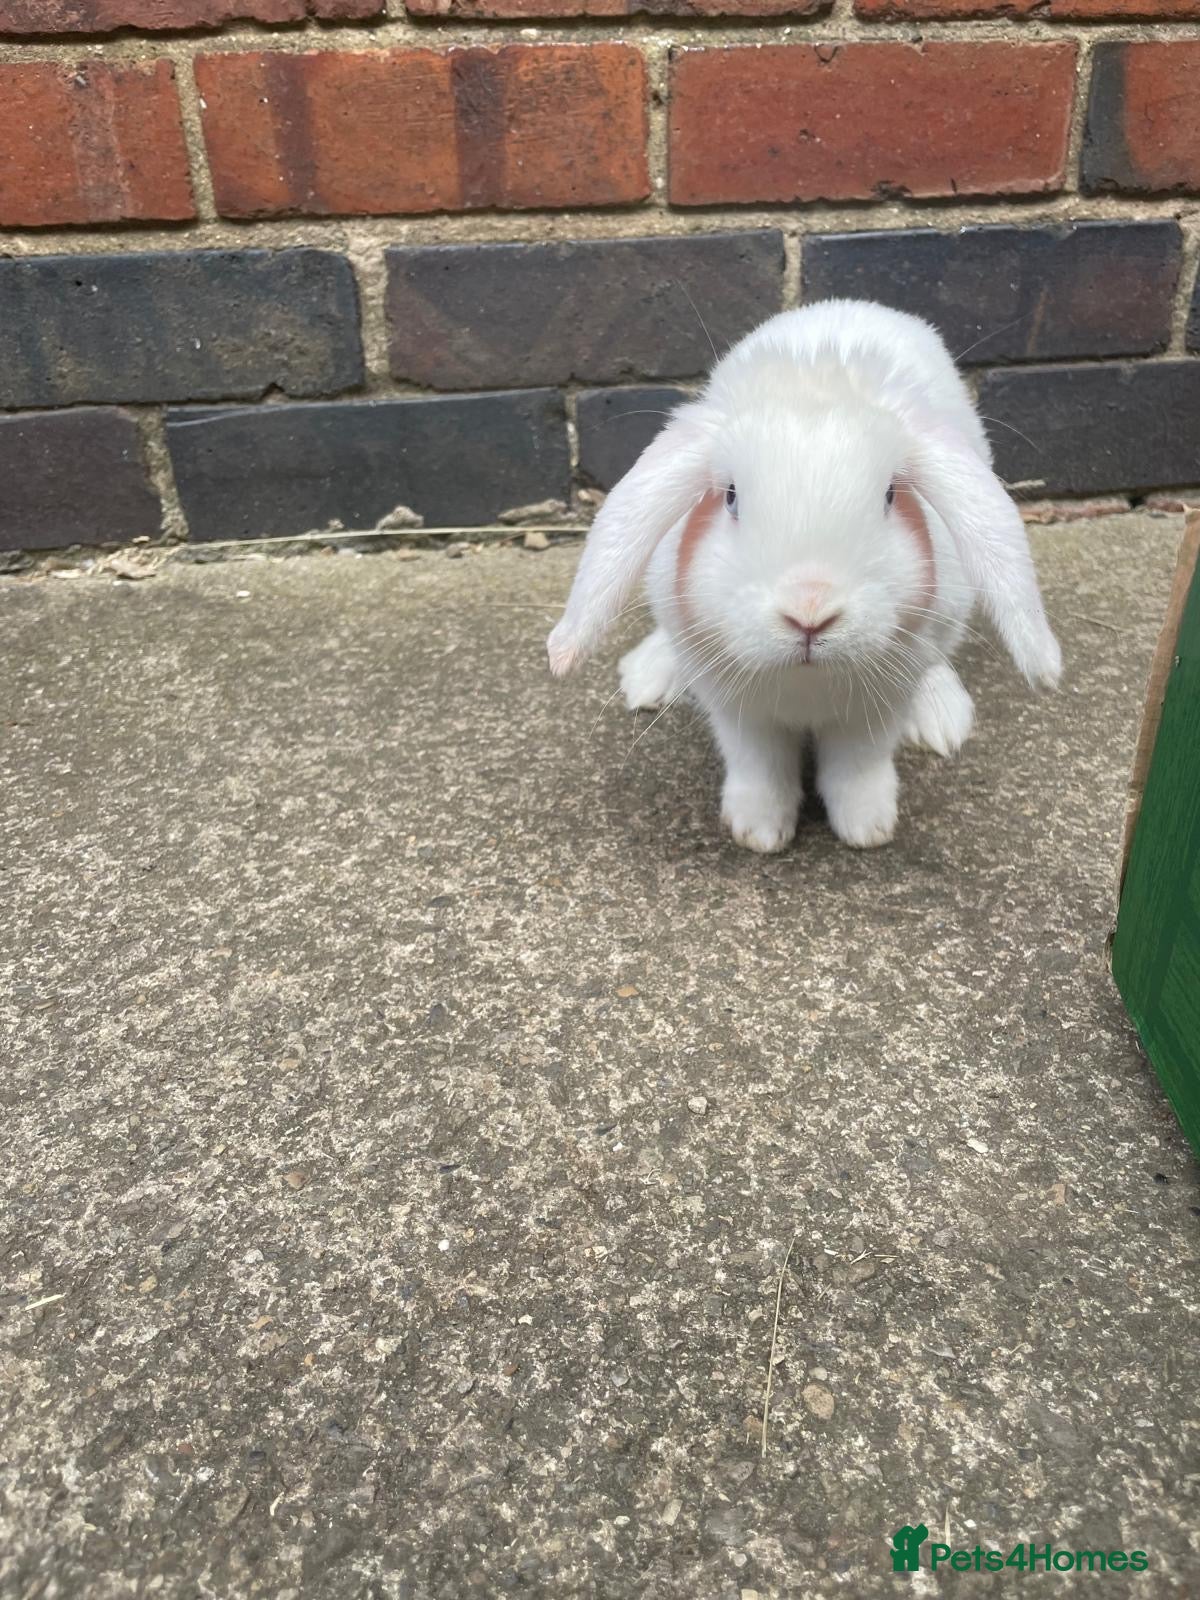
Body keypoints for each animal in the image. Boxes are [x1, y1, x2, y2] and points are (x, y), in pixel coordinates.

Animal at [547, 299, 1061, 852]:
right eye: (731, 497)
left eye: (890, 496)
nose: (810, 611)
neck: (805, 684)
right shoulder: (737, 710)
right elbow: (759, 766)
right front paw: (758, 832)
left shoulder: (878, 708)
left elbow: (858, 766)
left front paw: (867, 828)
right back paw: (648, 676)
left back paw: (941, 715)